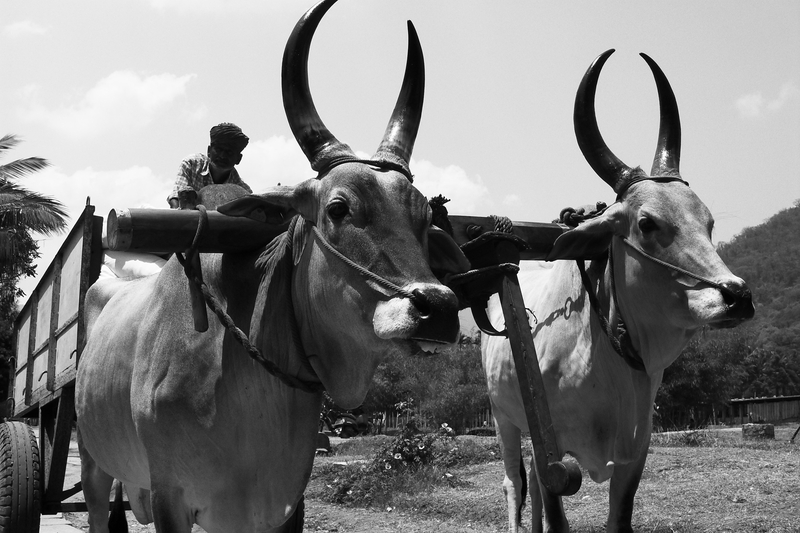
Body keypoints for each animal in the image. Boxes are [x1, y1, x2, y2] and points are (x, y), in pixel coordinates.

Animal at [75, 1, 463, 532]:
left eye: (426, 217)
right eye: (338, 208)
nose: (438, 308)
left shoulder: (281, 504)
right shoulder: (171, 496)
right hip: (92, 458)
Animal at [482, 49, 754, 533]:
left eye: (708, 222)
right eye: (646, 223)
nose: (737, 295)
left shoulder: (634, 454)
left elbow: (618, 518)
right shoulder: (553, 451)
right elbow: (555, 513)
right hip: (503, 419)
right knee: (513, 483)